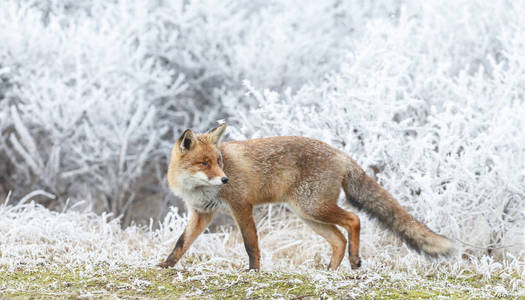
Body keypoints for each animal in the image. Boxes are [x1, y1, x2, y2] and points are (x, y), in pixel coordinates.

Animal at [158, 123, 452, 270]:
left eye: (219, 162)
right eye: (204, 163)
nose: (225, 179)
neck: (197, 189)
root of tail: (340, 153)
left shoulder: (242, 206)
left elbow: (251, 244)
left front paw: (254, 271)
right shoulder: (201, 213)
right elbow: (181, 243)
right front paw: (165, 265)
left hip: (313, 208)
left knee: (354, 220)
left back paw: (354, 261)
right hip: (309, 216)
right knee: (339, 240)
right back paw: (331, 271)